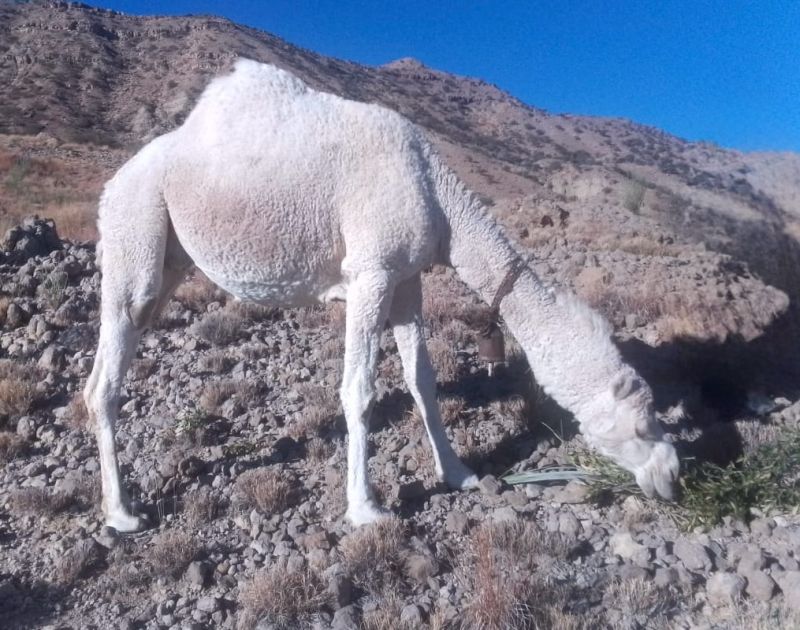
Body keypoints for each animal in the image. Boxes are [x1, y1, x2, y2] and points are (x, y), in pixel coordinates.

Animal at [84, 59, 679, 531]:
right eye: (643, 421)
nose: (672, 474)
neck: (436, 192)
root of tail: (113, 183)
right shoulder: (370, 271)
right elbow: (359, 389)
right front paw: (366, 508)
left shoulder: (407, 278)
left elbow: (423, 380)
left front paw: (459, 474)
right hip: (134, 227)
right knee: (107, 373)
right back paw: (122, 514)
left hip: (170, 262)